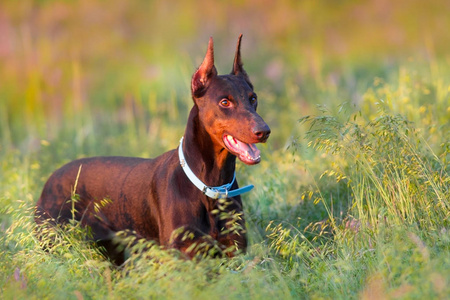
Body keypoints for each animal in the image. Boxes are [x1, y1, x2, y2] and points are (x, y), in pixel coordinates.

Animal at [35, 35, 270, 264]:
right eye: (224, 102)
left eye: (253, 98)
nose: (264, 131)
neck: (211, 185)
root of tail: (49, 180)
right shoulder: (183, 256)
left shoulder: (232, 255)